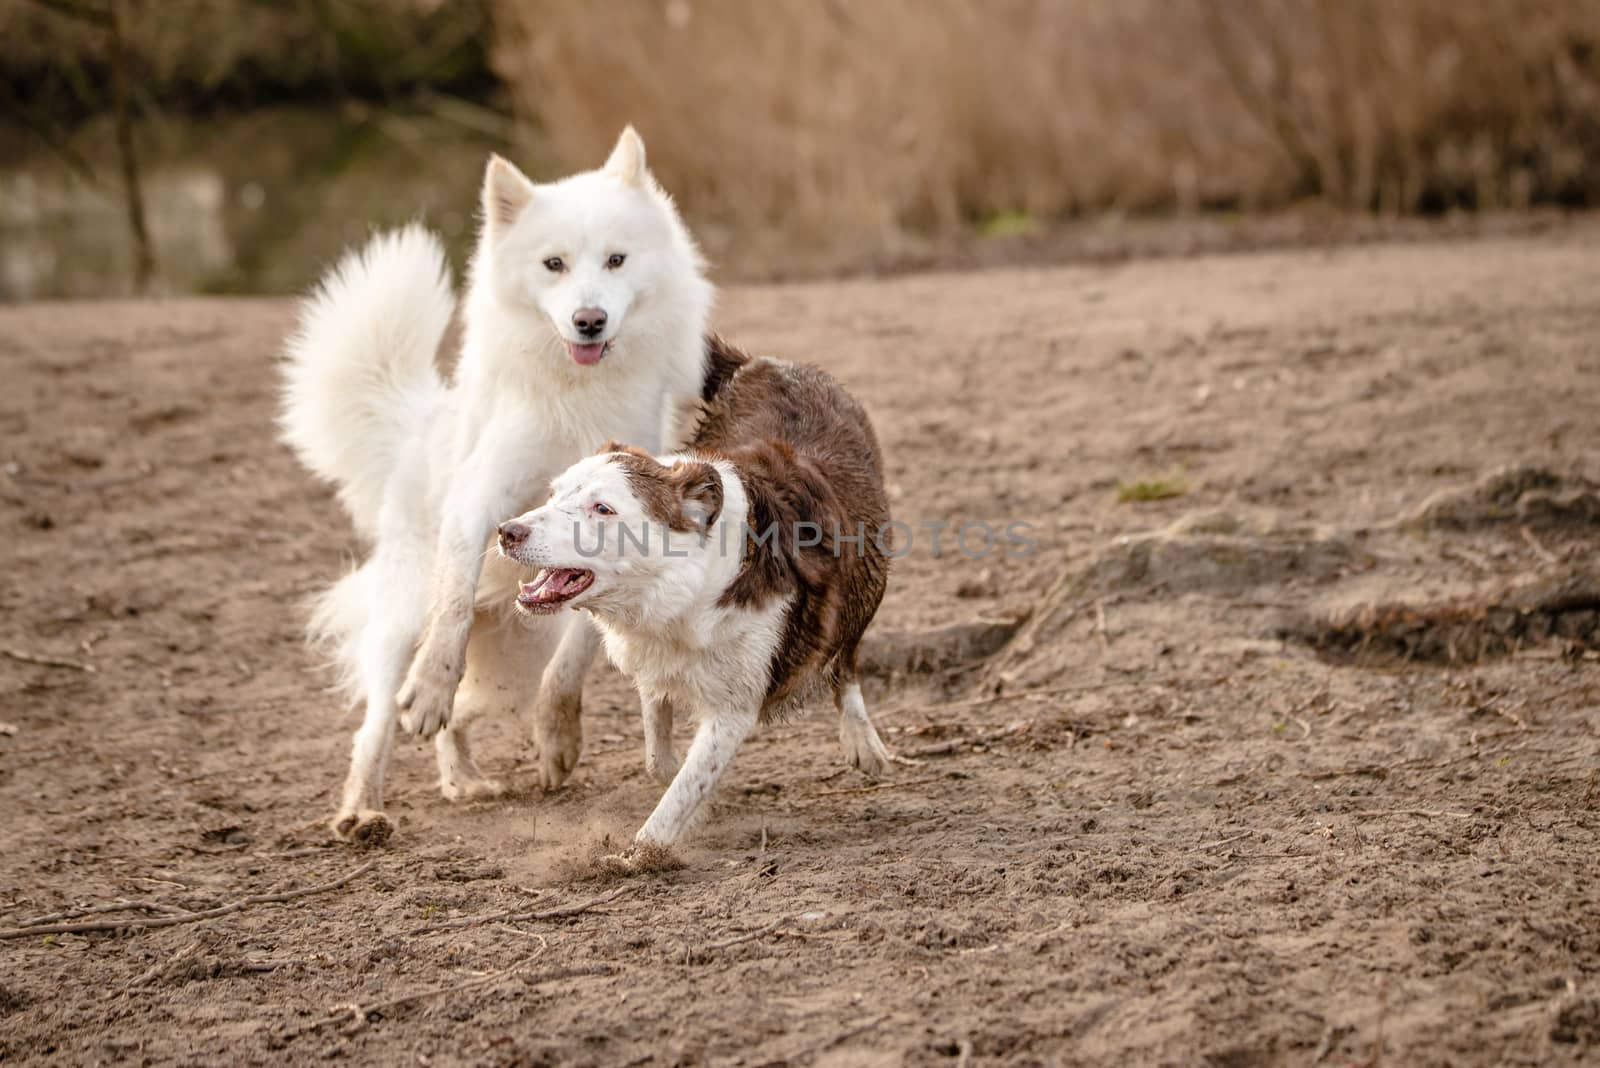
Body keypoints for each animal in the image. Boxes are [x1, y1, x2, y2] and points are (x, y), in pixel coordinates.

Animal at [496, 337, 902, 844]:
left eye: (602, 508)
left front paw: (636, 854)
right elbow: (659, 751)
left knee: (846, 659)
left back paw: (863, 741)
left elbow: (676, 801)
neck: (681, 586)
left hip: (868, 582)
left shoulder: (735, 709)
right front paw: (686, 788)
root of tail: (768, 362)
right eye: (554, 494)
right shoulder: (652, 654)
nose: (507, 532)